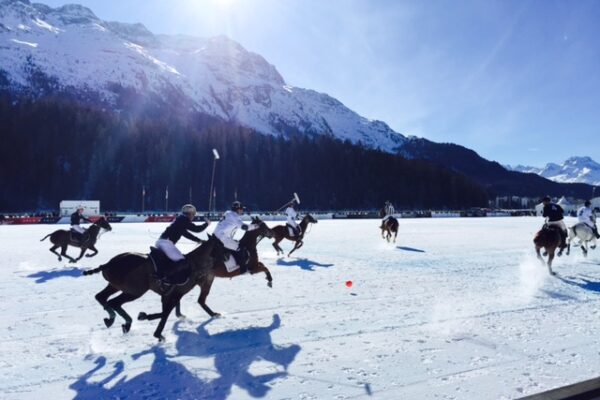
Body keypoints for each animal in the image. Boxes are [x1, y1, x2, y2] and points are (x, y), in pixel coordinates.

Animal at [82, 236, 216, 341]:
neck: (195, 264)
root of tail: (108, 264)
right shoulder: (174, 294)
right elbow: (165, 313)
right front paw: (156, 330)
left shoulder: (170, 294)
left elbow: (167, 312)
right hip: (135, 291)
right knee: (114, 302)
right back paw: (126, 322)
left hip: (115, 286)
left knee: (101, 297)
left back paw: (111, 319)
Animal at [139, 217, 275, 322]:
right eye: (264, 225)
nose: (272, 233)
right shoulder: (252, 268)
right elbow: (265, 268)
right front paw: (269, 281)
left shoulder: (254, 265)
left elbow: (264, 265)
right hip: (204, 280)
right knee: (197, 299)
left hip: (205, 280)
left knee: (197, 300)